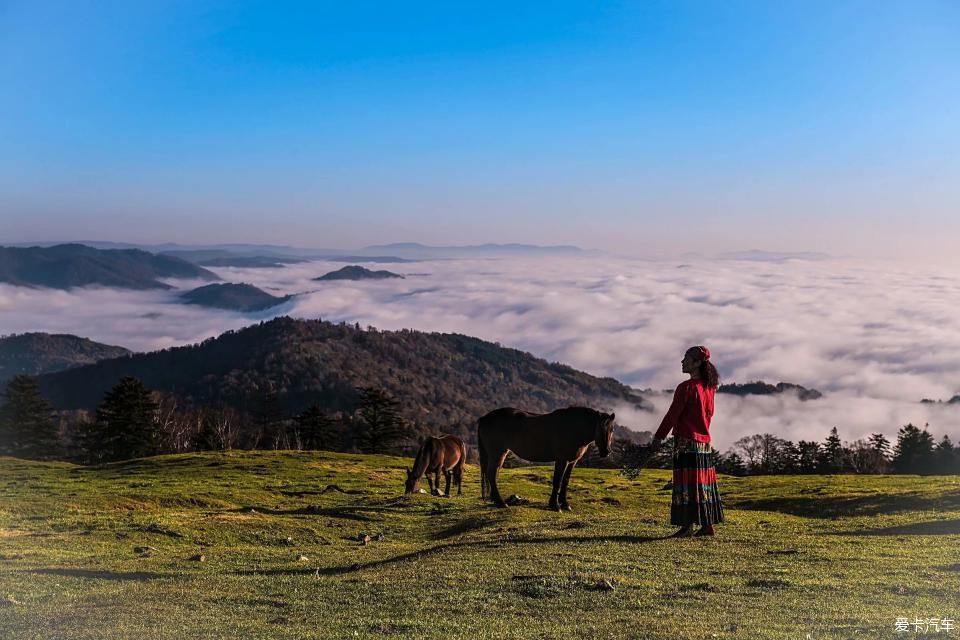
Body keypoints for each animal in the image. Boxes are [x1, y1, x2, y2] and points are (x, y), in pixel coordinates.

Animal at [478, 408, 616, 512]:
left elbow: (565, 481)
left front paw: (565, 504)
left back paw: (496, 500)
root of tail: (484, 418)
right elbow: (557, 481)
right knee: (491, 473)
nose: (606, 452)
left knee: (492, 474)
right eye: (600, 428)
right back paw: (501, 502)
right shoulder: (562, 460)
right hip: (497, 453)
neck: (571, 427)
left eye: (612, 430)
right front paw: (555, 505)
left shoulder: (572, 462)